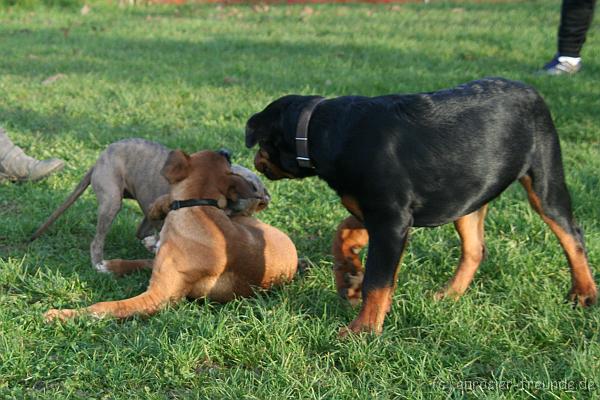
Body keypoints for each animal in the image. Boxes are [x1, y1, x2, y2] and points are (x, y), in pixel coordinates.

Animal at [30, 138, 270, 272]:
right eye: (248, 184)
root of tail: (99, 160)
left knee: (139, 231)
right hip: (111, 202)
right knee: (97, 241)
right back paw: (99, 264)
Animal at [45, 150, 298, 322]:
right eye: (224, 159)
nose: (226, 151)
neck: (199, 206)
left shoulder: (158, 296)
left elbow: (108, 306)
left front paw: (61, 314)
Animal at [246, 77, 596, 334]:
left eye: (261, 145)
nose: (254, 161)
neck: (320, 131)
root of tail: (531, 89)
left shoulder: (391, 220)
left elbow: (378, 280)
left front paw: (363, 329)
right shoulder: (384, 214)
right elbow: (345, 231)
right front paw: (349, 276)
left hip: (544, 179)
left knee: (572, 235)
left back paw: (584, 292)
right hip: (469, 195)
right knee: (475, 249)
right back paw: (451, 294)